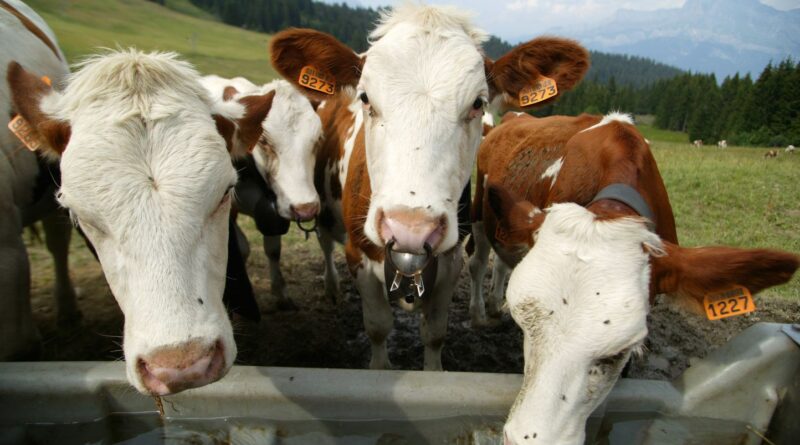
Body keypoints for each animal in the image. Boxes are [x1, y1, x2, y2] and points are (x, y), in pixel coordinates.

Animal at [201, 75, 322, 308]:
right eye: (264, 141)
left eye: (318, 138)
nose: (305, 209)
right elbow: (240, 248)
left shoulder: (274, 210)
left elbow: (273, 249)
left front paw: (280, 291)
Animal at [270, 3, 590, 370]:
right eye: (365, 97)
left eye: (478, 103)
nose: (410, 228)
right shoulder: (359, 256)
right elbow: (378, 327)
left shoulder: (450, 263)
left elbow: (435, 333)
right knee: (324, 241)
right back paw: (332, 288)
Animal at [467, 112, 799, 445]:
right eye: (525, 327)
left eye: (620, 353)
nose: (528, 437)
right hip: (479, 215)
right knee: (479, 262)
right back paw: (480, 311)